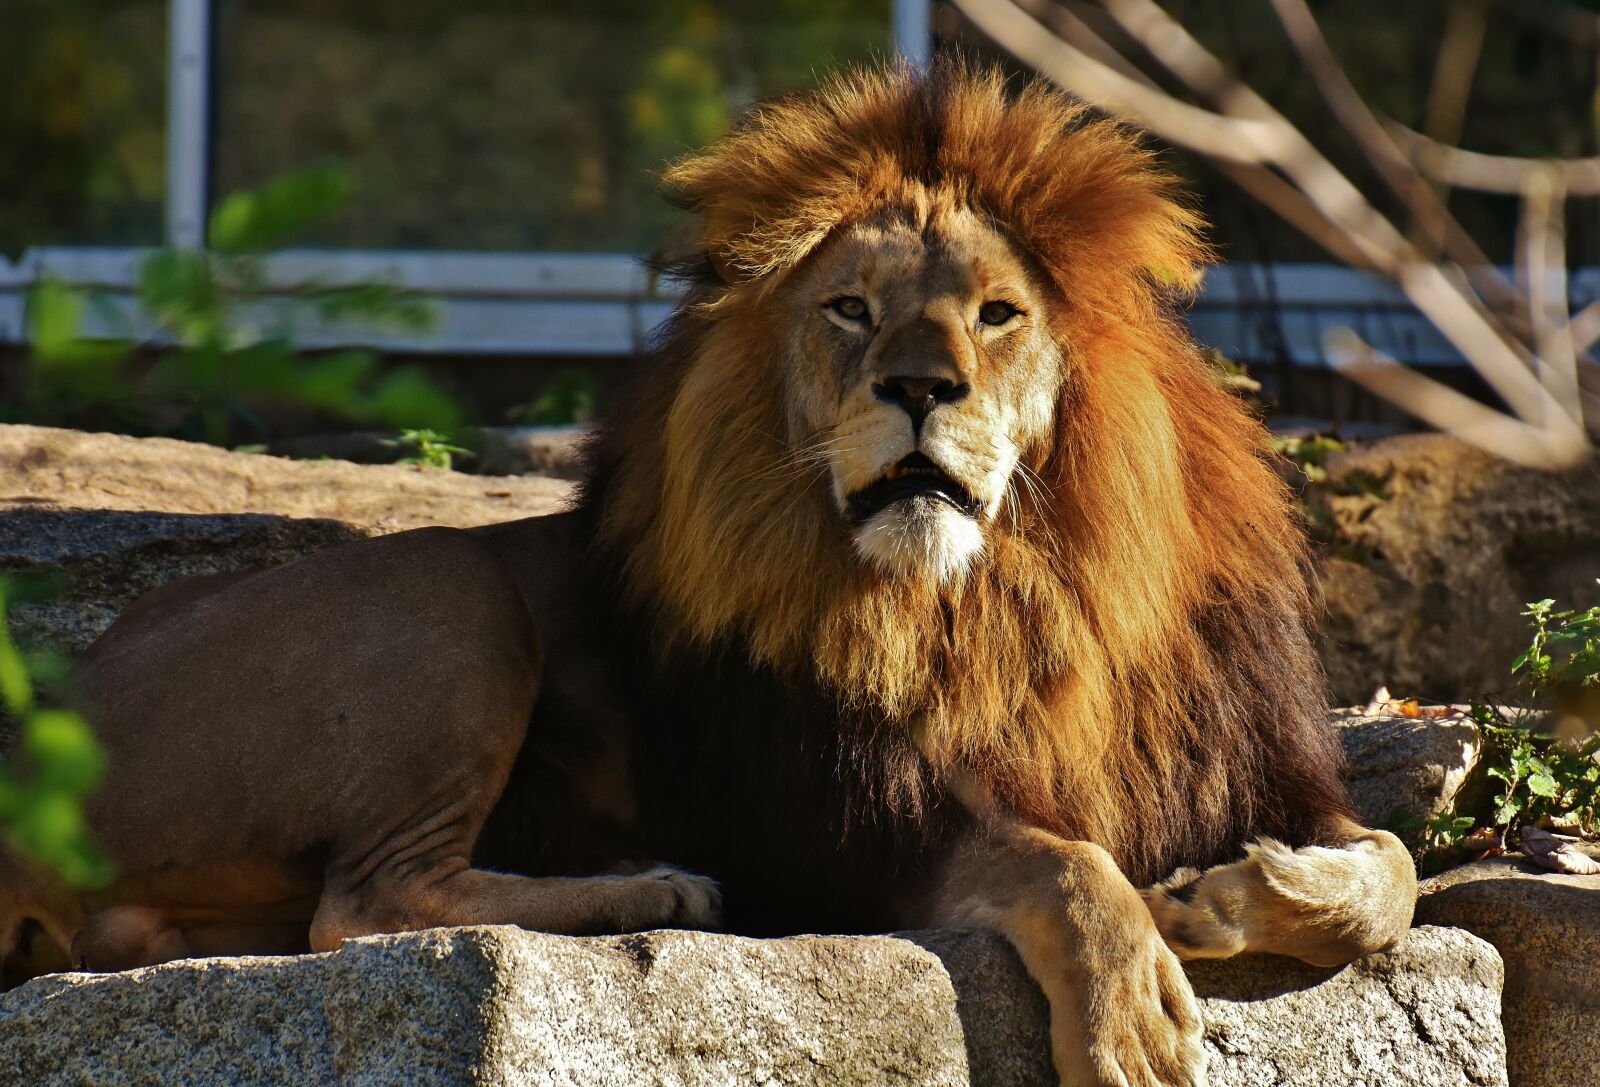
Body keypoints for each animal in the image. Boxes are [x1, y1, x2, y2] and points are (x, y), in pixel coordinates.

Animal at [1, 62, 1416, 1086]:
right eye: (849, 309)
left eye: (996, 313)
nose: (919, 388)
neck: (1013, 595)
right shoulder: (846, 832)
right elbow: (1062, 859)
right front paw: (1134, 1013)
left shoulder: (1260, 761)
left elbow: (1390, 869)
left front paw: (1240, 890)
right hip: (447, 593)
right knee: (363, 904)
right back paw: (660, 885)